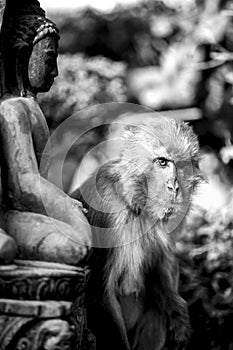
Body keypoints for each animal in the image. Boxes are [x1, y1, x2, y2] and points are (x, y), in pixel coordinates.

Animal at [71, 116, 200, 348]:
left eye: (182, 165)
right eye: (162, 162)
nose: (174, 187)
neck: (134, 201)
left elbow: (158, 267)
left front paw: (180, 317)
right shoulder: (107, 208)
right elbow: (100, 292)